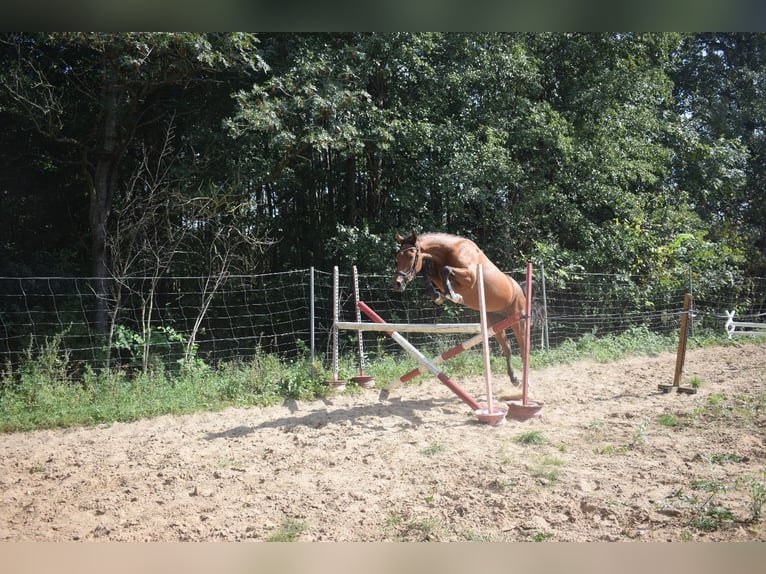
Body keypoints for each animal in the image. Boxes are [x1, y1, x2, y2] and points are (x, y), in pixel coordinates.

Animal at [392, 232, 532, 390]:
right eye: (397, 258)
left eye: (410, 256)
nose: (397, 284)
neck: (450, 250)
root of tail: (519, 288)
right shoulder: (438, 276)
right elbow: (429, 273)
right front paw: (438, 296)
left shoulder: (470, 276)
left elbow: (446, 270)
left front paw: (454, 296)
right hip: (494, 323)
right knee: (507, 348)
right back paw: (514, 379)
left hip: (518, 320)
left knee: (523, 347)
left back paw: (526, 381)